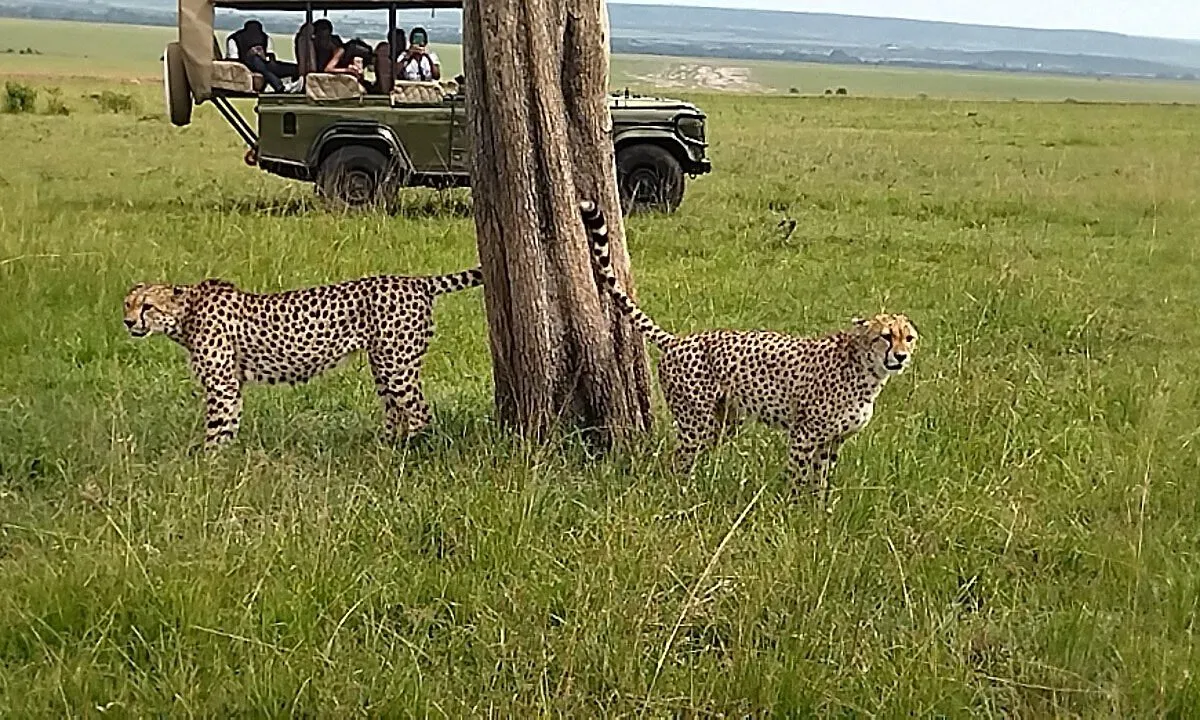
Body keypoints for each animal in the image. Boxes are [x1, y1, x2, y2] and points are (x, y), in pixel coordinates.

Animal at [120, 268, 477, 451]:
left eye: (147, 306)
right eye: (128, 303)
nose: (128, 322)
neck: (187, 311)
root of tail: (414, 280)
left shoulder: (222, 385)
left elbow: (215, 430)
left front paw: (207, 470)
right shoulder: (233, 385)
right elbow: (229, 426)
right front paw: (224, 467)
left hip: (396, 365)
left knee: (420, 413)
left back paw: (412, 454)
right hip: (384, 365)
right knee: (396, 412)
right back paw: (389, 449)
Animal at [578, 201, 916, 494]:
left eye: (908, 338)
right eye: (886, 336)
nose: (901, 357)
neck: (867, 372)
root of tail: (678, 340)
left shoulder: (831, 442)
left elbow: (820, 482)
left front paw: (820, 512)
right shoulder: (804, 435)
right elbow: (798, 477)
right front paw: (794, 510)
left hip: (723, 421)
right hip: (695, 420)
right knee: (678, 460)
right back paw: (683, 493)